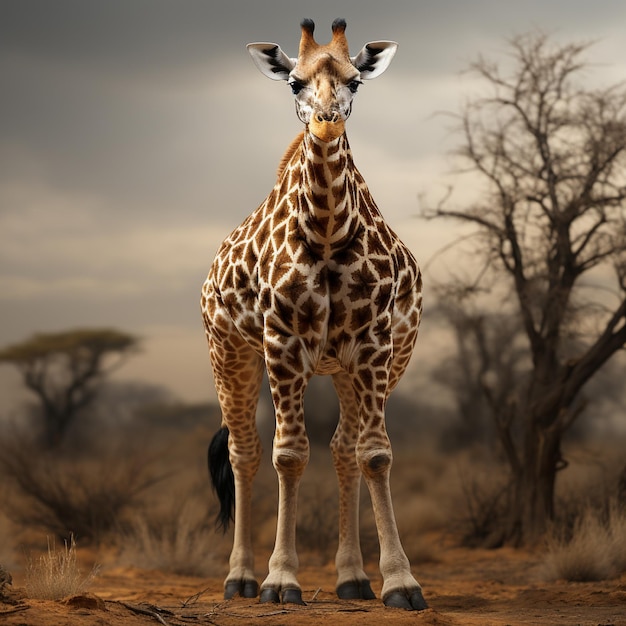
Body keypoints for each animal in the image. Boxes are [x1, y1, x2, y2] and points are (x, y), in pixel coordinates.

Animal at [200, 17, 424, 608]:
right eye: (294, 83)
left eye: (356, 81)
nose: (325, 124)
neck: (326, 231)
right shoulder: (282, 342)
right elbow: (289, 455)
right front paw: (280, 581)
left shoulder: (372, 343)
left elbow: (374, 454)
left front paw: (400, 582)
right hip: (229, 352)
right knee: (245, 452)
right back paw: (240, 578)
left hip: (359, 364)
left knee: (344, 448)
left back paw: (352, 578)